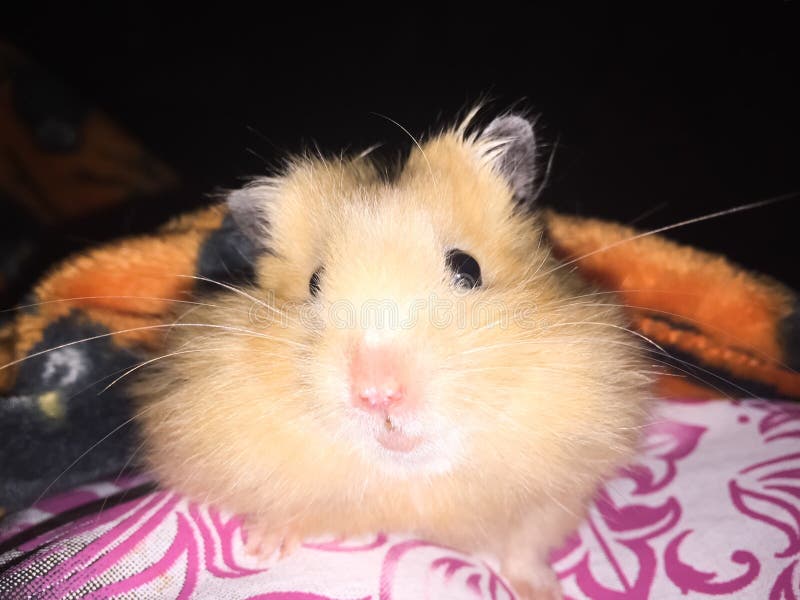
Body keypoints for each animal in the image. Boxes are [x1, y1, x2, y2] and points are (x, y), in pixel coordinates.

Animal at [133, 111, 650, 599]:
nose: (377, 393)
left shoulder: (554, 493)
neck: (408, 477)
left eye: (468, 268)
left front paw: (543, 591)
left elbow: (524, 546)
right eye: (314, 283)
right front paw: (261, 550)